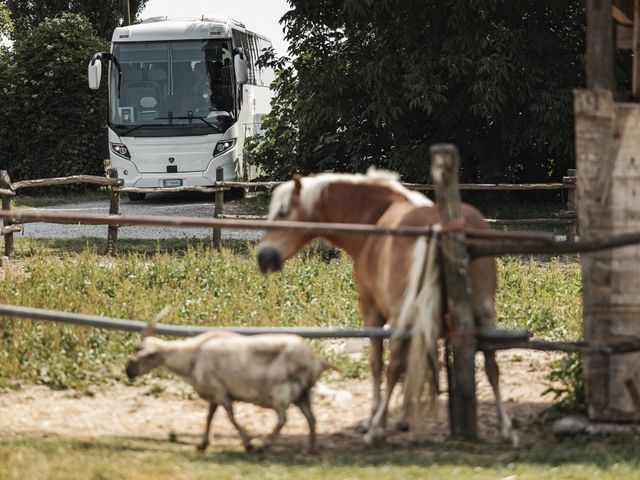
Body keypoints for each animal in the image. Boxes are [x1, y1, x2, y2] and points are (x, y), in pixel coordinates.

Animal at [126, 312, 336, 454]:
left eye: (138, 355)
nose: (127, 372)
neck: (192, 357)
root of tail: (316, 360)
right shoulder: (214, 394)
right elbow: (209, 417)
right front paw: (202, 444)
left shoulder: (220, 391)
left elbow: (230, 416)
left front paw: (248, 442)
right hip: (303, 393)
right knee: (312, 419)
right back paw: (310, 449)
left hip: (282, 391)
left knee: (283, 419)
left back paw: (265, 446)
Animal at [258, 170, 512, 446]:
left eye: (283, 212)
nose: (263, 257)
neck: (375, 216)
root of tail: (438, 228)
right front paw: (404, 417)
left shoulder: (373, 314)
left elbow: (378, 363)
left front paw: (374, 419)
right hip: (484, 312)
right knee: (492, 366)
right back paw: (506, 429)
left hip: (404, 315)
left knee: (395, 366)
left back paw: (376, 429)